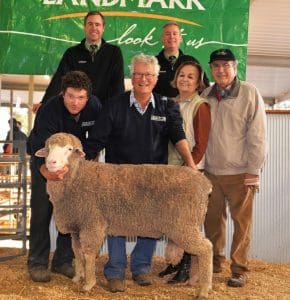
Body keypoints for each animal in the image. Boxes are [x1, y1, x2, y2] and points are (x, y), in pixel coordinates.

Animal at [35, 132, 213, 298]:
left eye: (69, 149)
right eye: (48, 148)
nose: (51, 163)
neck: (77, 176)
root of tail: (205, 184)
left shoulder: (92, 223)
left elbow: (89, 254)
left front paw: (89, 284)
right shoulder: (77, 227)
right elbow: (78, 253)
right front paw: (78, 277)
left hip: (183, 224)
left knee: (205, 248)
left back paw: (204, 289)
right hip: (189, 224)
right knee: (196, 253)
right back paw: (193, 281)